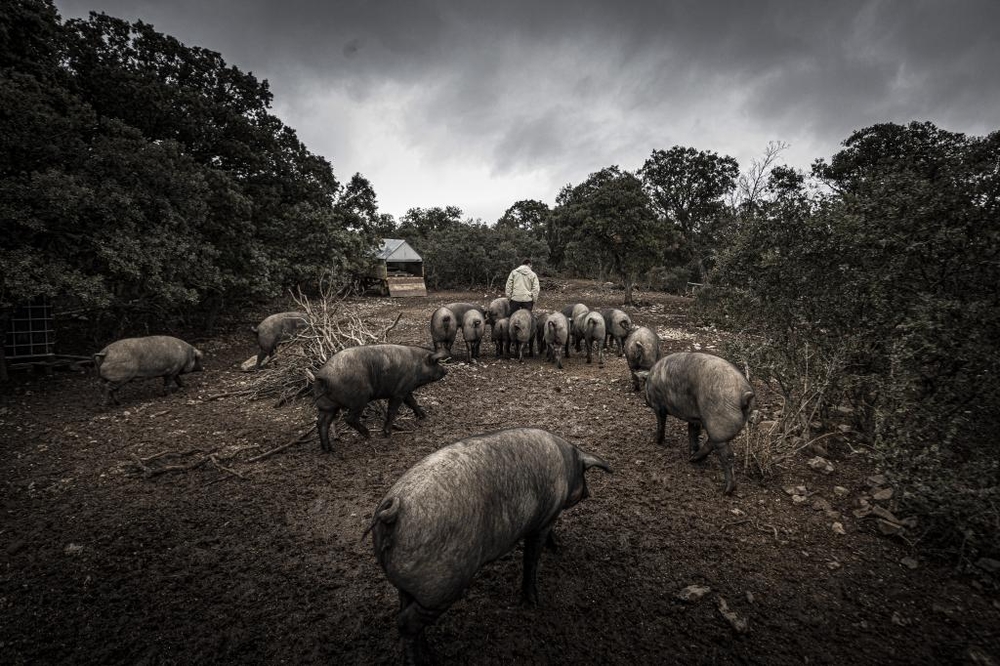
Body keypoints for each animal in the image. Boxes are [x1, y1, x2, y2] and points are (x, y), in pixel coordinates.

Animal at [302, 342, 448, 452]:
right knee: (349, 419)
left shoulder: (406, 391)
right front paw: (387, 433)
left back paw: (329, 449)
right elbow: (393, 410)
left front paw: (423, 416)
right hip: (360, 398)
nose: (446, 370)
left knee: (321, 423)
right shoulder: (399, 391)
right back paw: (368, 435)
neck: (417, 365)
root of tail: (322, 377)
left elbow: (412, 402)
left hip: (327, 406)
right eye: (435, 362)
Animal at [368, 428, 608, 660]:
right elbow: (531, 560)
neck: (567, 466)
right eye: (584, 474)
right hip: (440, 587)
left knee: (405, 612)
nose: (588, 492)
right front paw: (534, 602)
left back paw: (428, 653)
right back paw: (421, 659)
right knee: (404, 623)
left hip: (410, 584)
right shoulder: (544, 520)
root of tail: (394, 508)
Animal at [644, 350, 752, 490]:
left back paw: (727, 489)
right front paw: (691, 450)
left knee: (727, 455)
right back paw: (693, 458)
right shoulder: (694, 418)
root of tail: (745, 395)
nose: (645, 399)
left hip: (718, 425)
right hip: (716, 427)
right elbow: (693, 433)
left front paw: (657, 441)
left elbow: (661, 422)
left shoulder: (658, 405)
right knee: (711, 443)